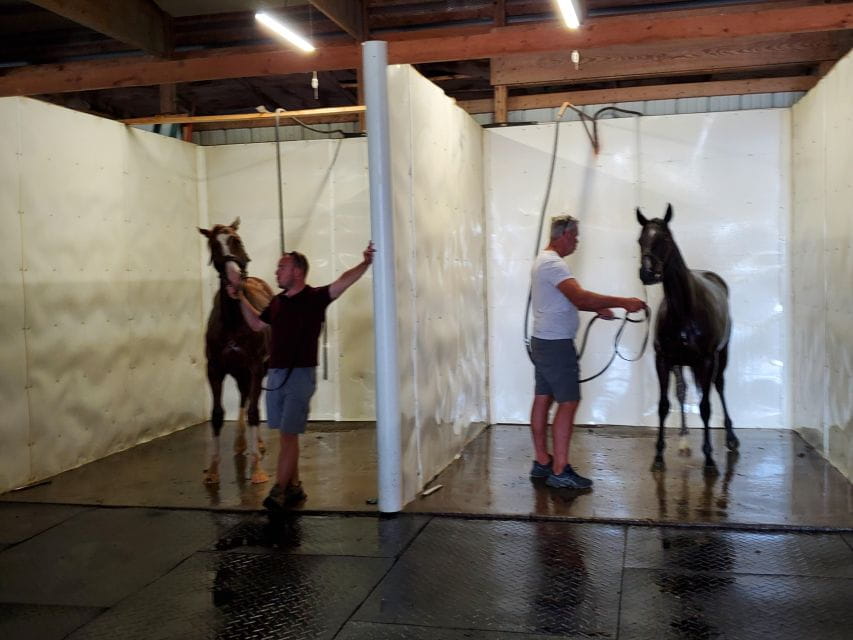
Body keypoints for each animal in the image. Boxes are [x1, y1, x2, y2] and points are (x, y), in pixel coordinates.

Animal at [198, 218, 273, 485]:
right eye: (213, 246)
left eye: (237, 240)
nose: (233, 278)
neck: (233, 320)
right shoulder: (215, 369)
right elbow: (217, 414)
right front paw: (212, 470)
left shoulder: (256, 366)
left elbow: (254, 412)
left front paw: (258, 469)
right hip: (239, 371)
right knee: (243, 397)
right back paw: (241, 444)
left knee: (252, 401)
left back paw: (256, 445)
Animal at [636, 204, 739, 474]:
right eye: (640, 240)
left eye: (665, 238)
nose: (647, 273)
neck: (684, 311)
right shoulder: (663, 360)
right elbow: (664, 405)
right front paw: (658, 457)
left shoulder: (706, 360)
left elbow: (705, 407)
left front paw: (710, 459)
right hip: (681, 364)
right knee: (682, 391)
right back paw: (683, 441)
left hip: (721, 355)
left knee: (718, 386)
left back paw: (731, 438)